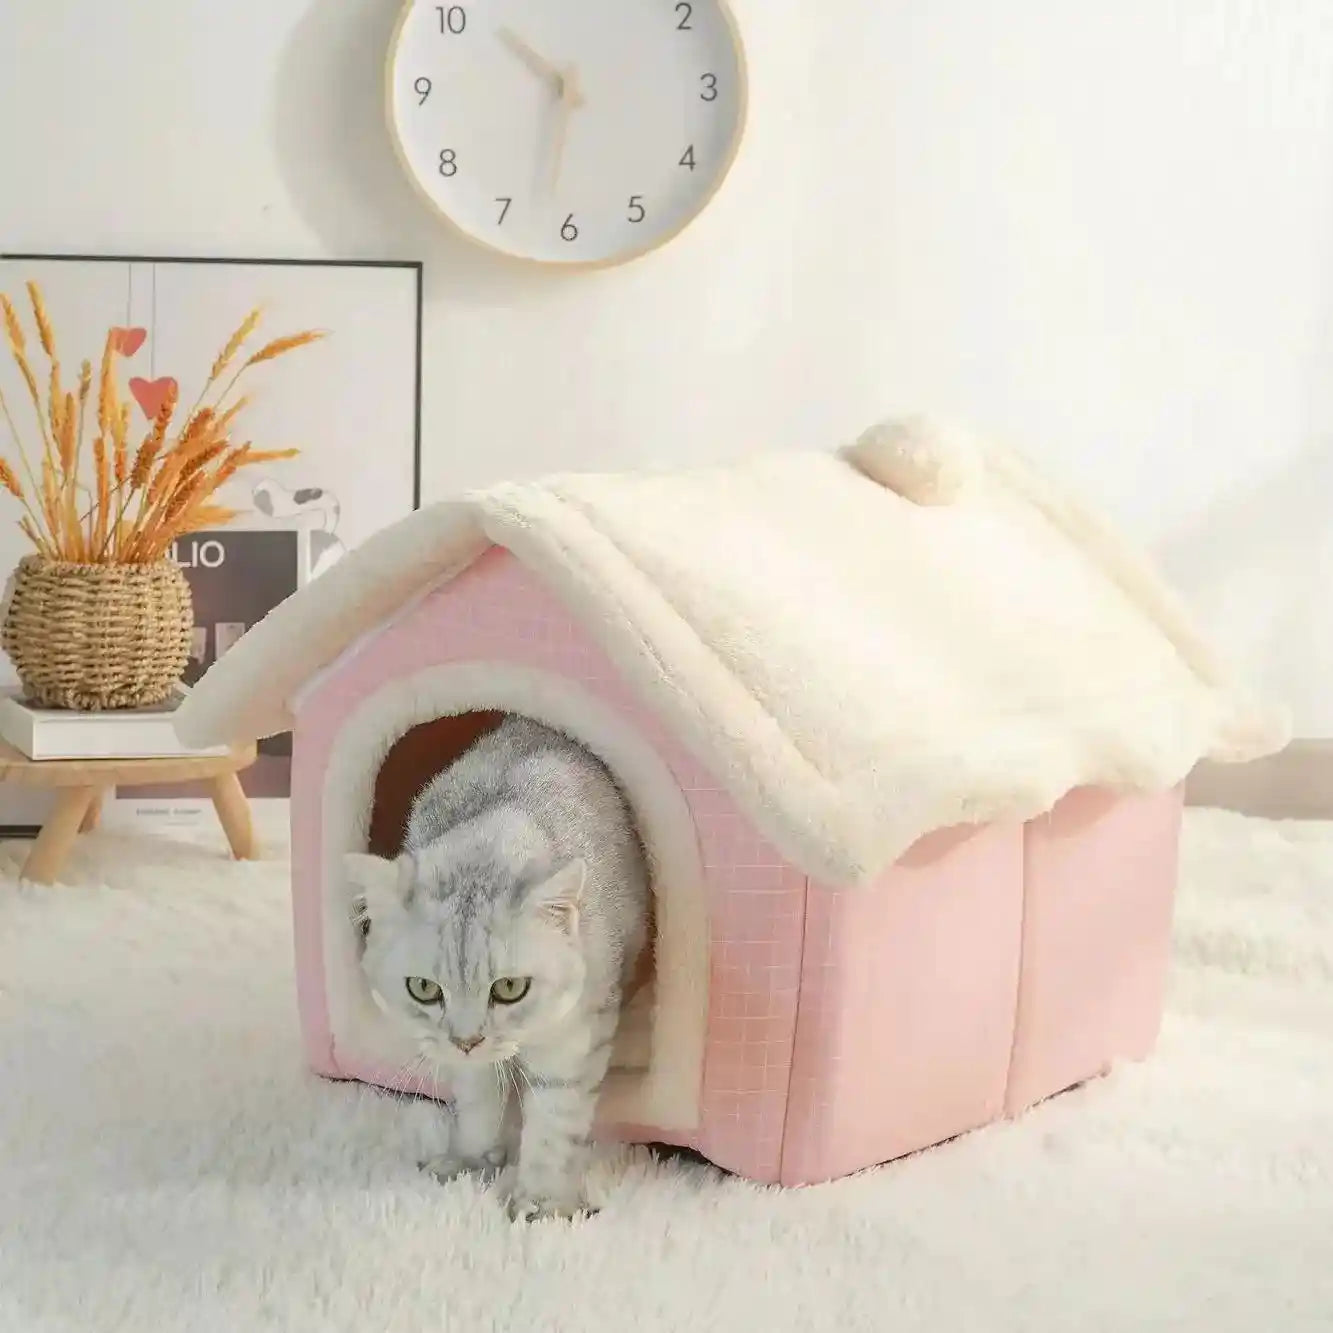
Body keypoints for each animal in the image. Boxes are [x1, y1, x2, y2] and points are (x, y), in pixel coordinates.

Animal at [343, 719, 650, 1221]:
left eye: (509, 988)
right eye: (423, 988)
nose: (467, 1041)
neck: (487, 844)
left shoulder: (576, 1033)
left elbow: (554, 1123)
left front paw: (541, 1203)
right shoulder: (466, 1063)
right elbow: (476, 1097)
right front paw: (468, 1161)